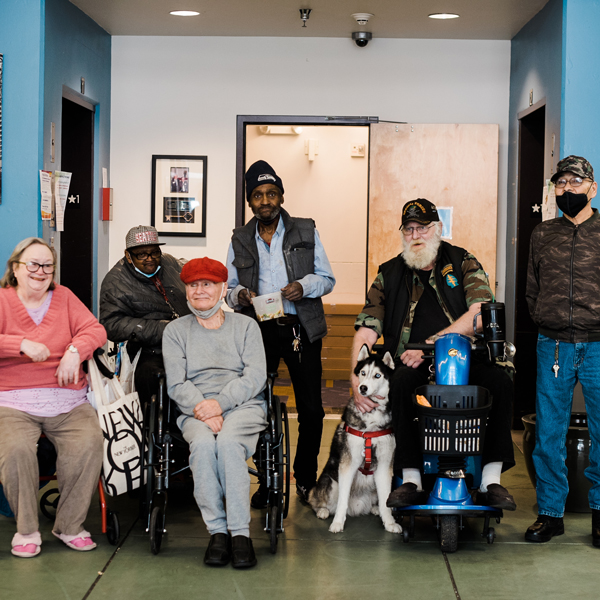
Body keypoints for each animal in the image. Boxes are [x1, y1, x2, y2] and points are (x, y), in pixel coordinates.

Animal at [312, 344, 400, 532]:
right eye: (363, 373)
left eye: (377, 375)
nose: (363, 388)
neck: (372, 414)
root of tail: (357, 507)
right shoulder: (348, 464)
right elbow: (342, 500)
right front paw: (338, 522)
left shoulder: (384, 465)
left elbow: (386, 500)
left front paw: (389, 522)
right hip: (330, 482)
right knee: (317, 499)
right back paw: (322, 510)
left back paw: (375, 509)